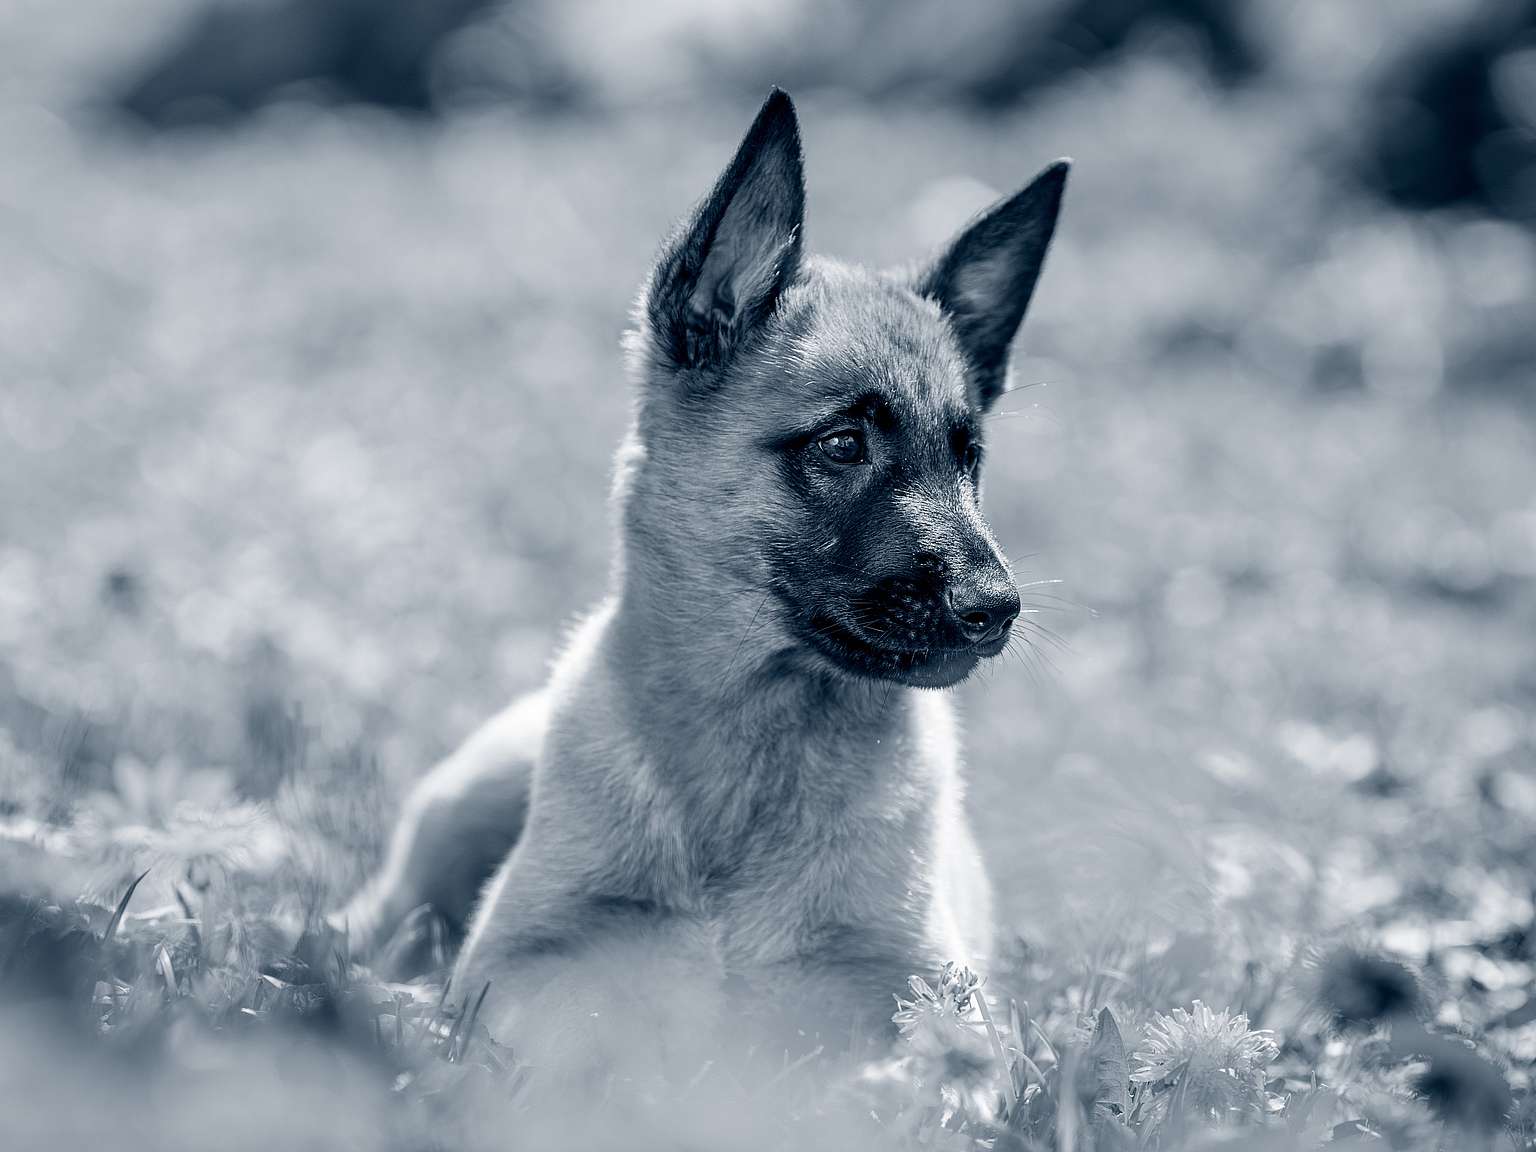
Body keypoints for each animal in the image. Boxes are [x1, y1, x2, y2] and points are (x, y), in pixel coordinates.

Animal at [336, 87, 1062, 1075]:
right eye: (842, 444)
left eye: (968, 458)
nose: (997, 611)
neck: (753, 754)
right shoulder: (518, 965)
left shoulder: (939, 993)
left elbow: (924, 1065)